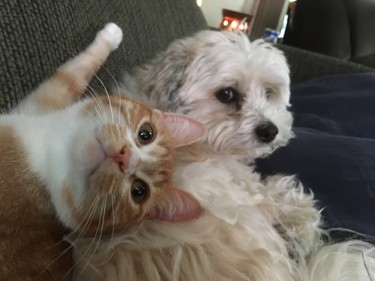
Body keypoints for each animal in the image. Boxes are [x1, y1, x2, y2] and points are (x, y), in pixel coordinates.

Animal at [0, 23, 206, 280]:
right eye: (145, 134)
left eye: (139, 191)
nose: (124, 157)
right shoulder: (44, 105)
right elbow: (74, 75)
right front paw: (110, 38)